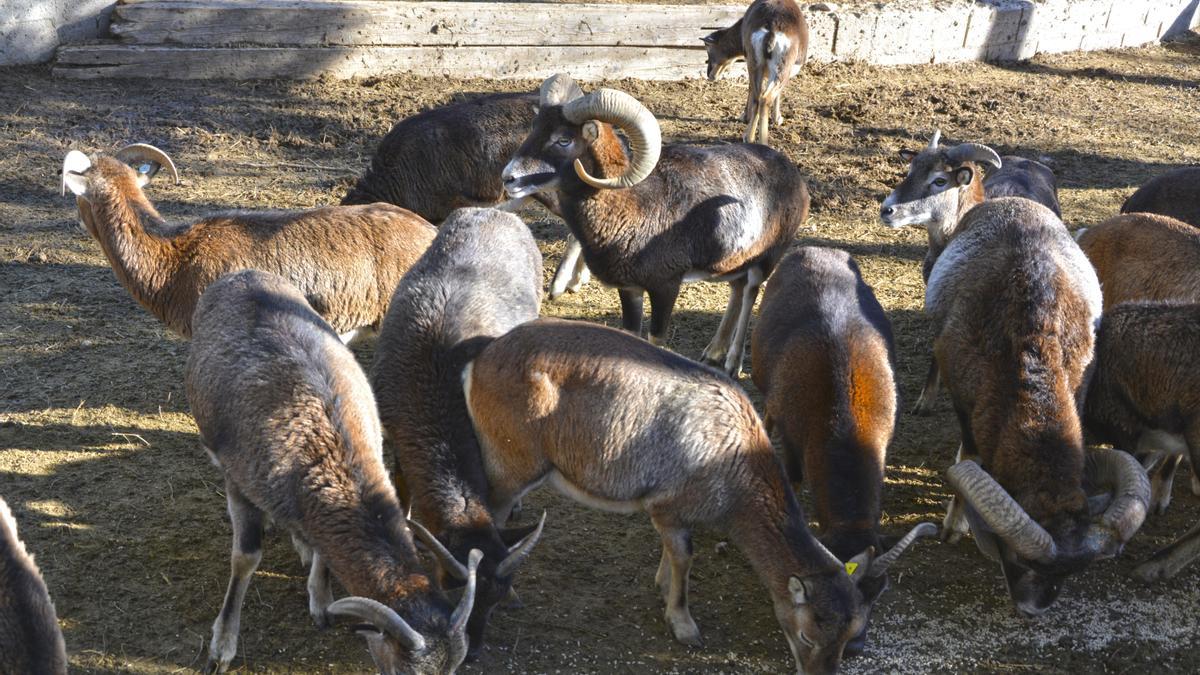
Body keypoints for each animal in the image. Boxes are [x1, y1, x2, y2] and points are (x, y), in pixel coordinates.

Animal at [184, 269, 475, 672]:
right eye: (400, 670)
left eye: (454, 666)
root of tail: (242, 275)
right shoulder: (239, 483)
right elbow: (245, 559)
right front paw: (222, 646)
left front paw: (321, 601)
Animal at [496, 77, 806, 379]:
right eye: (535, 128)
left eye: (563, 139)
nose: (508, 178)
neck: (630, 207)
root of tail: (795, 177)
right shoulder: (630, 289)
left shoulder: (665, 287)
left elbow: (655, 339)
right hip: (732, 263)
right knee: (737, 289)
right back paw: (713, 353)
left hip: (766, 261)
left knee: (751, 292)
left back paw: (732, 363)